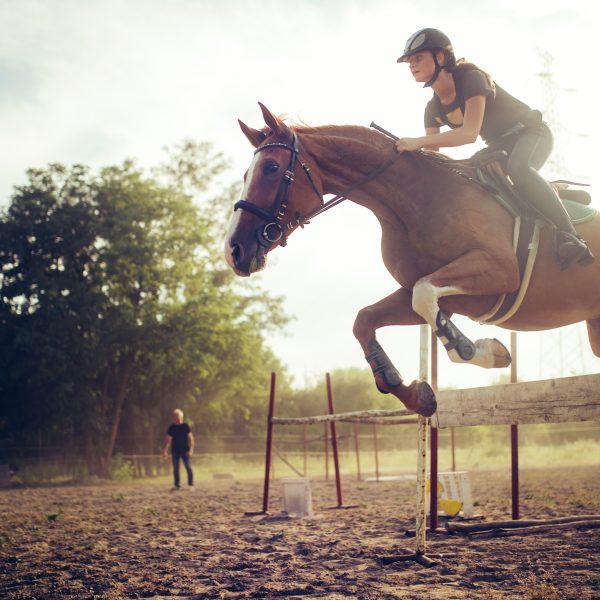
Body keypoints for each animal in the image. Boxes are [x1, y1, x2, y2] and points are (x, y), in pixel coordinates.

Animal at [225, 102, 600, 418]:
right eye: (246, 174)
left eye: (272, 167)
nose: (234, 251)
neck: (415, 200)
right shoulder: (444, 298)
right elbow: (366, 320)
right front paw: (412, 393)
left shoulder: (499, 270)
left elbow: (425, 297)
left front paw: (477, 349)